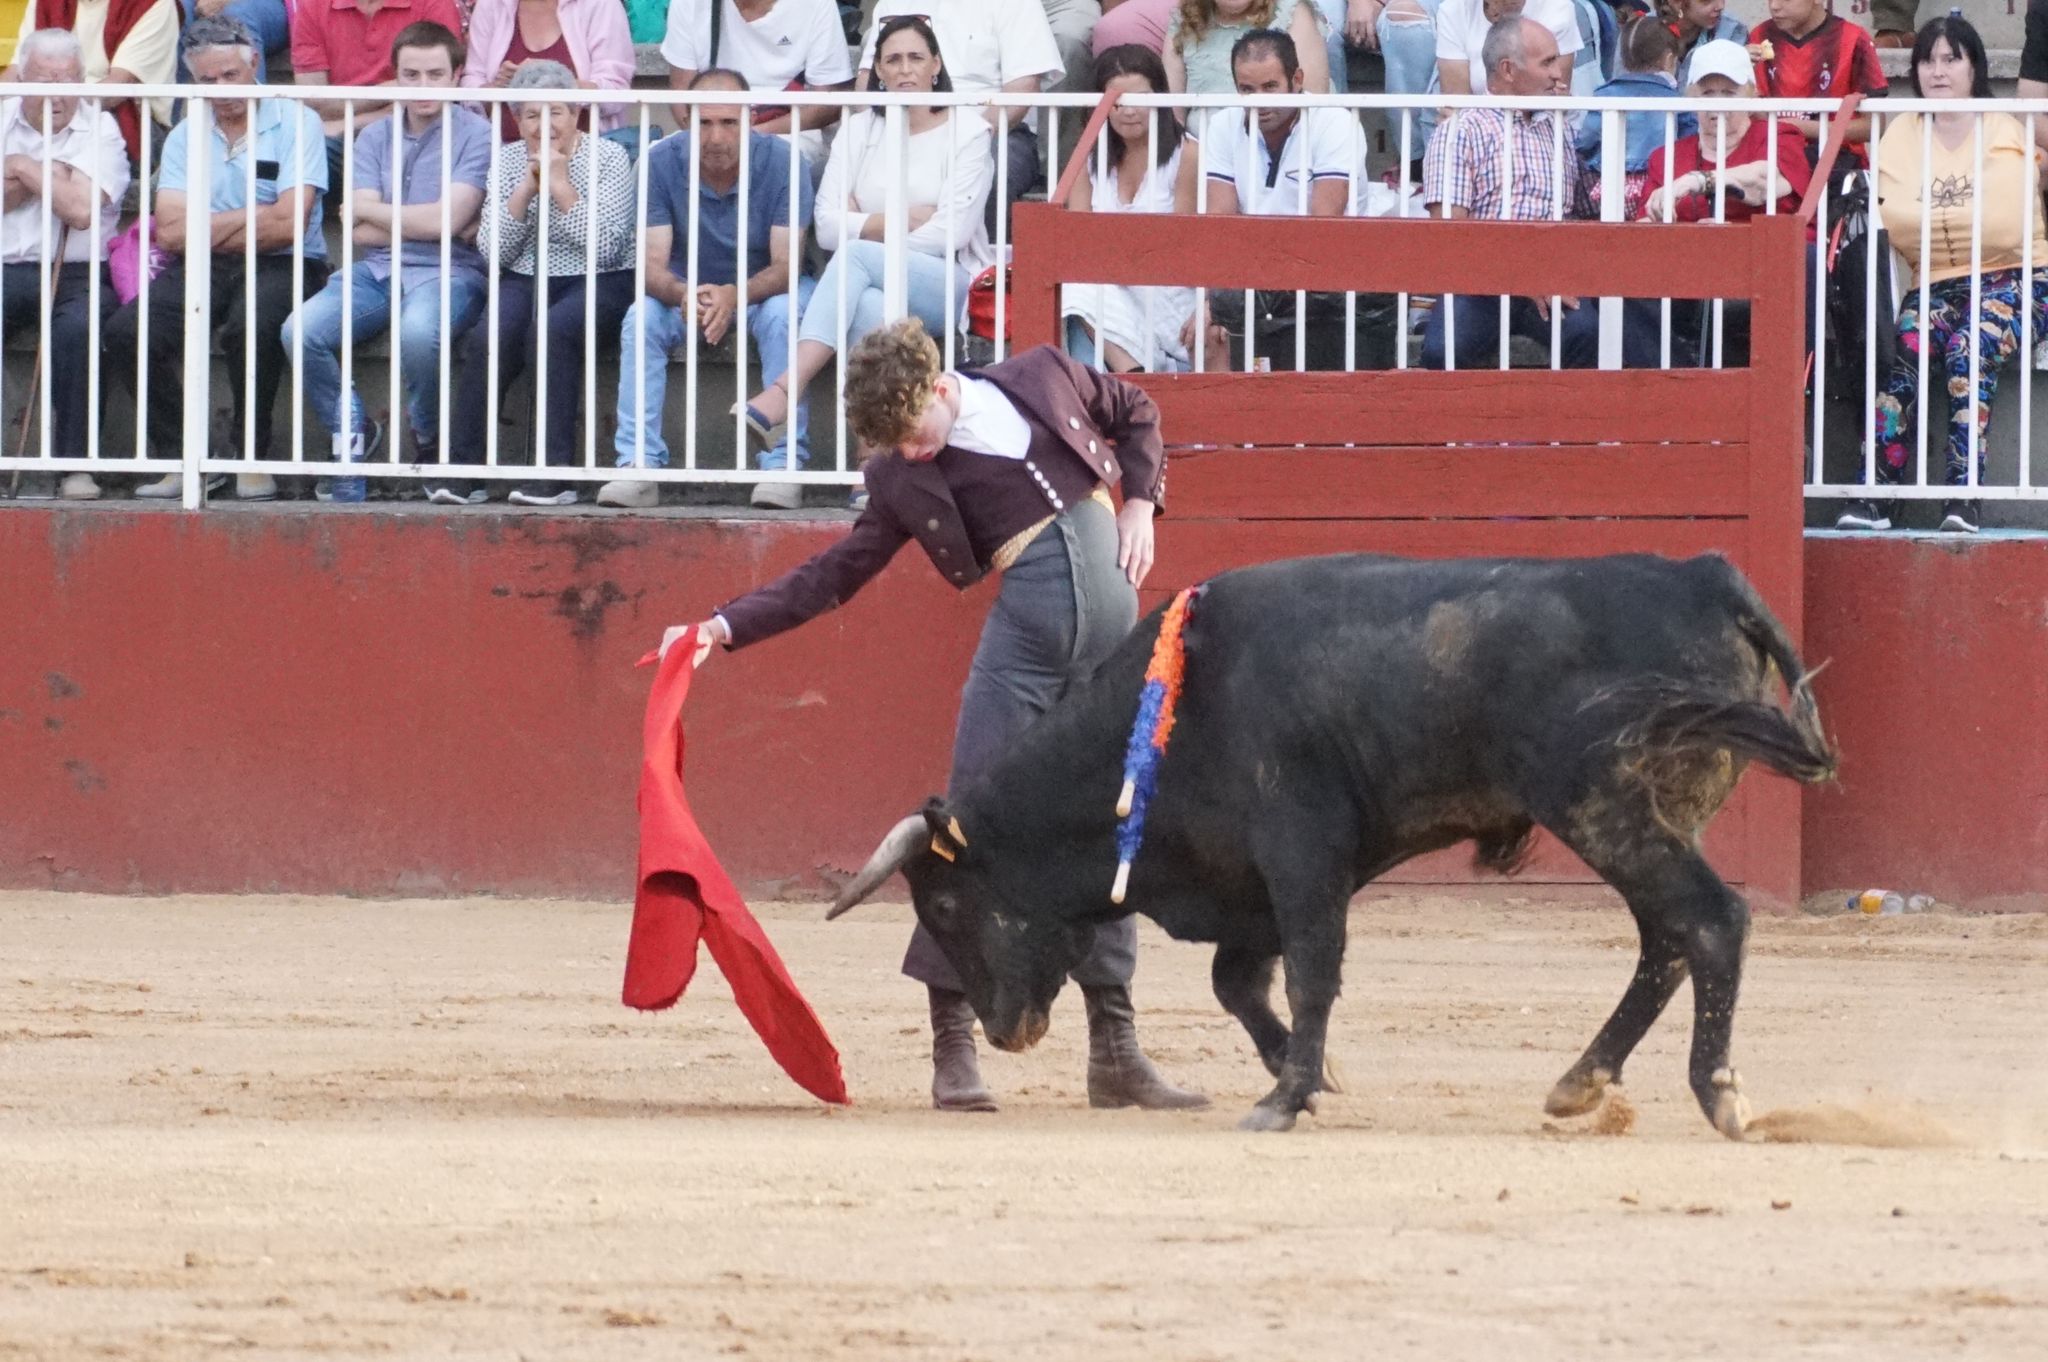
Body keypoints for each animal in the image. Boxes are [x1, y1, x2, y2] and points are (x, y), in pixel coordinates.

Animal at [823, 552, 1835, 1138]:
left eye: (945, 903)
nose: (1007, 1030)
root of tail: (1706, 575)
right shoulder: (1255, 877)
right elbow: (1240, 982)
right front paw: (1305, 1074)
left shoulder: (1300, 849)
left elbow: (1310, 971)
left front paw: (1284, 1097)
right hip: (1653, 810)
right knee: (1666, 938)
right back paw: (1580, 1083)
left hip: (1599, 802)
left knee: (1710, 919)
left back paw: (1719, 1092)